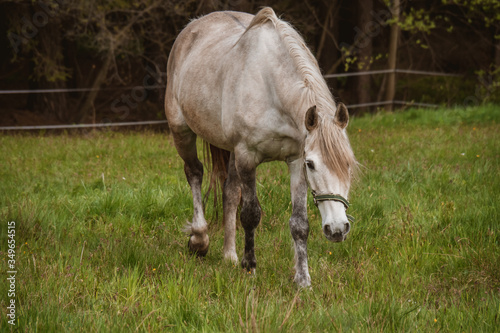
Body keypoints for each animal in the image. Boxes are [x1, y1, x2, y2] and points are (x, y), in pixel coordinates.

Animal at [164, 7, 356, 286]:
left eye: (349, 165)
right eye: (312, 164)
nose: (338, 229)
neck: (271, 87)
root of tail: (192, 28)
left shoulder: (294, 160)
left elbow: (299, 224)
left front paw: (303, 280)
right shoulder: (248, 157)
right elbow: (251, 214)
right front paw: (250, 267)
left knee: (229, 191)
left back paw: (229, 255)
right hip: (182, 131)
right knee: (195, 174)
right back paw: (200, 240)